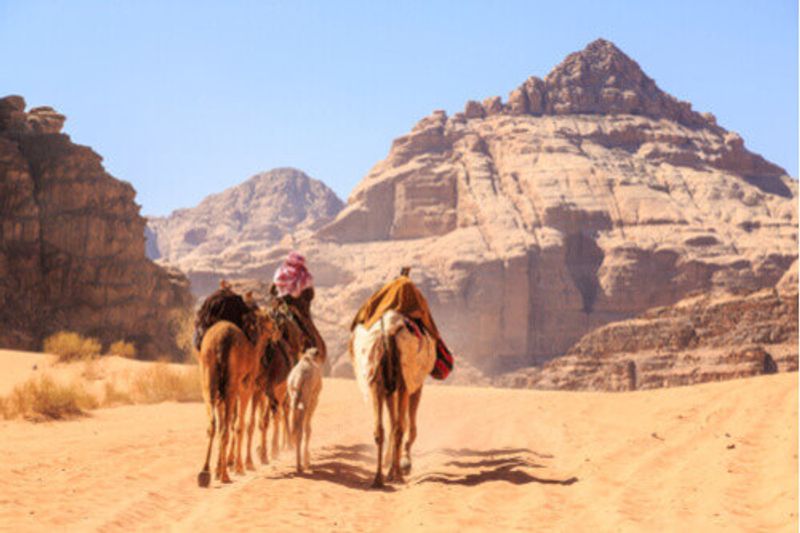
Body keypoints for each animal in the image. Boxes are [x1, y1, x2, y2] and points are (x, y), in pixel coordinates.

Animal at [195, 308, 280, 486]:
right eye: (270, 320)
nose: (278, 332)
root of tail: (220, 342)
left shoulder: (223, 398)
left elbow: (227, 424)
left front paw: (218, 468)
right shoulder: (245, 390)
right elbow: (240, 425)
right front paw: (240, 467)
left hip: (208, 383)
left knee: (213, 425)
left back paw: (204, 473)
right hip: (231, 387)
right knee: (227, 429)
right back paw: (225, 475)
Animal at [350, 308, 438, 486]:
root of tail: (388, 331)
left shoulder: (389, 390)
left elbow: (393, 422)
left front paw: (391, 462)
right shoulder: (415, 385)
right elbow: (408, 426)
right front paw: (405, 463)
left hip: (376, 380)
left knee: (380, 429)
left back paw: (378, 478)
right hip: (404, 382)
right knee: (400, 427)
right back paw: (395, 474)